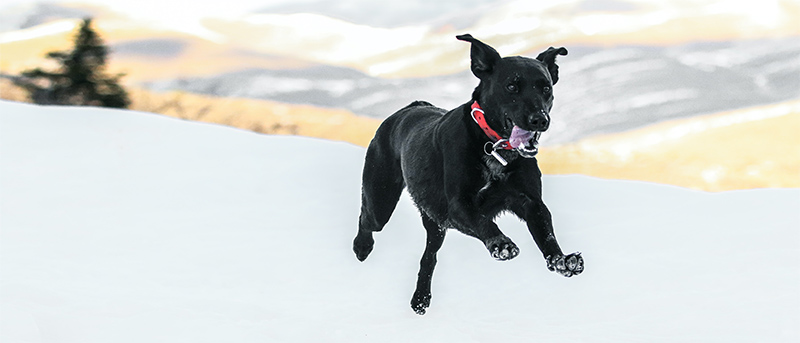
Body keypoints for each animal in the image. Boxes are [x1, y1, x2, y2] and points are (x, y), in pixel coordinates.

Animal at [354, 34, 584, 314]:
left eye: (546, 88)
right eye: (512, 86)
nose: (540, 119)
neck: (492, 146)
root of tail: (410, 107)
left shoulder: (531, 202)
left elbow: (546, 234)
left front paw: (562, 260)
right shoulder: (459, 206)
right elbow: (484, 221)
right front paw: (501, 244)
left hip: (435, 222)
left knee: (428, 258)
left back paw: (421, 298)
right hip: (381, 199)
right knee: (366, 218)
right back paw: (362, 247)